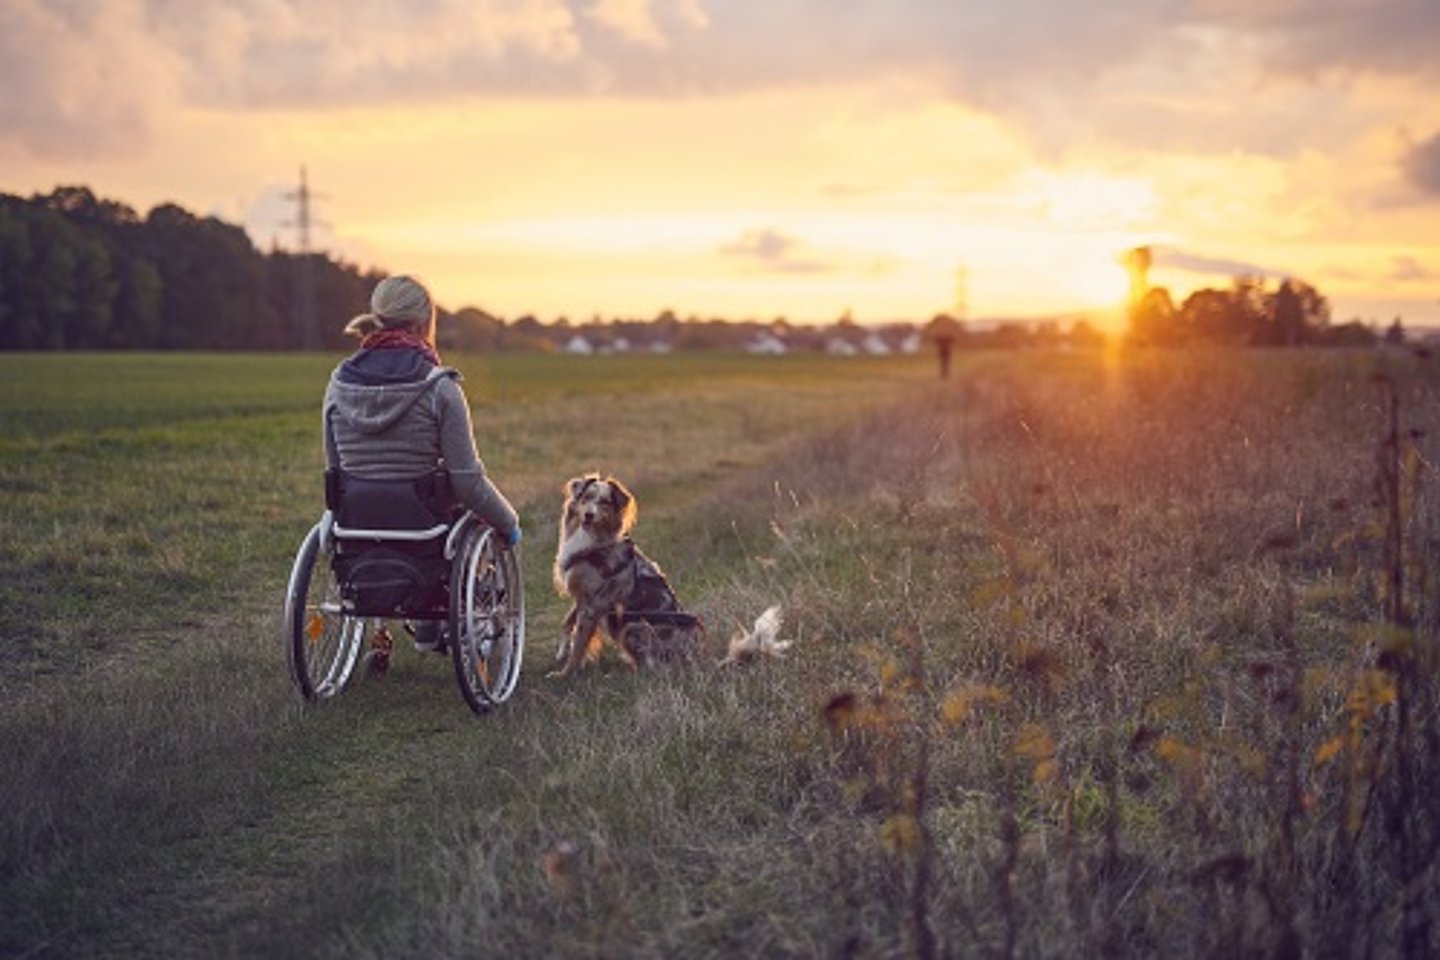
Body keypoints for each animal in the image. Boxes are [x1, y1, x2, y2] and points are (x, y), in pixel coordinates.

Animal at [550, 474, 708, 676]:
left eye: (604, 502)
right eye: (586, 497)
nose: (589, 515)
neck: (592, 538)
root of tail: (697, 654)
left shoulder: (594, 603)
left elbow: (579, 642)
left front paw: (565, 673)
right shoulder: (583, 595)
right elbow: (568, 622)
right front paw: (562, 651)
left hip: (633, 625)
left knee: (652, 668)